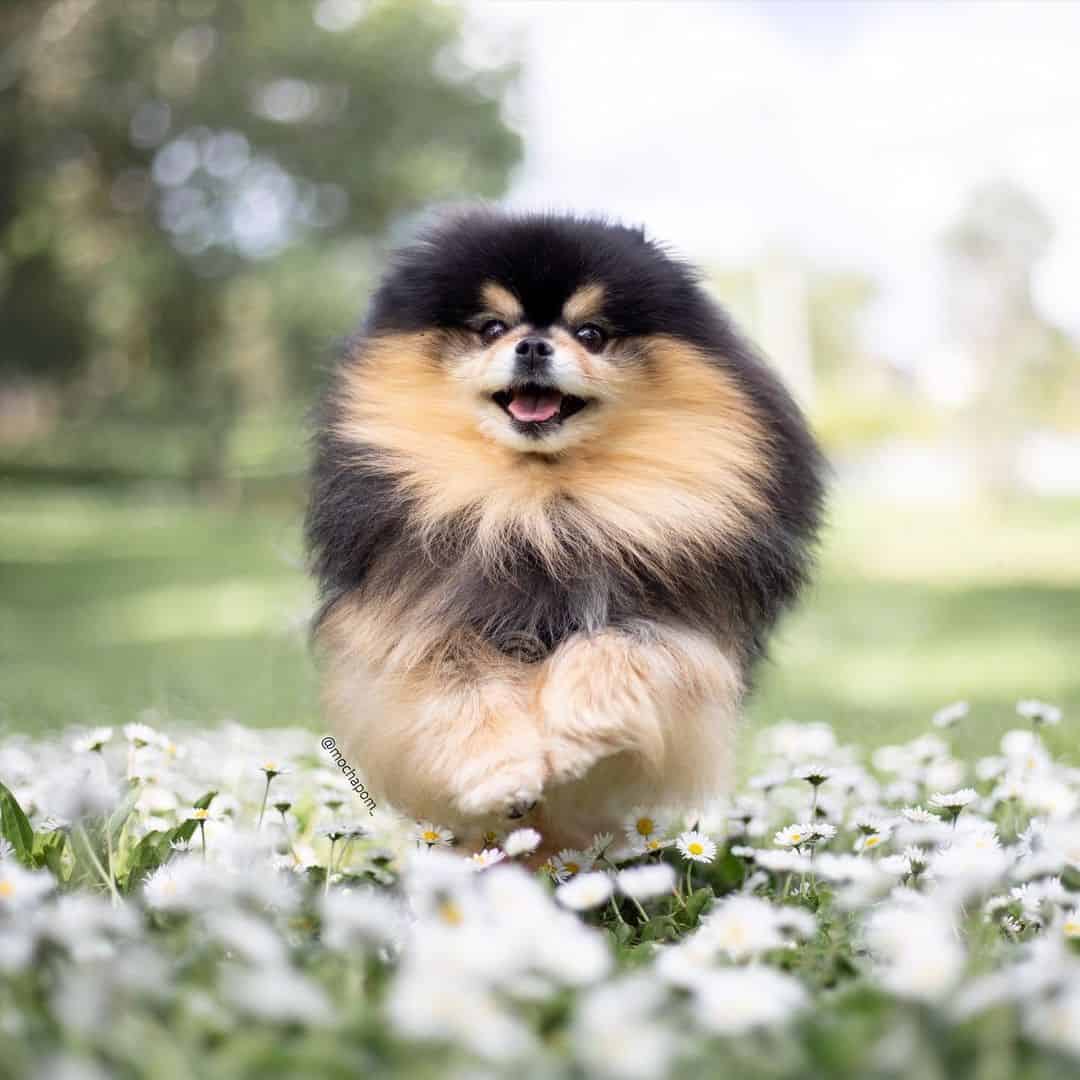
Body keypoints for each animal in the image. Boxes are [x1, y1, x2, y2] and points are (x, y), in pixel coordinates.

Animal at [306, 208, 825, 851]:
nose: (532, 344)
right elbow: (455, 679)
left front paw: (573, 735)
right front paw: (504, 770)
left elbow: (615, 646)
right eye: (491, 327)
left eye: (592, 333)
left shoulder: (682, 628)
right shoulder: (410, 627)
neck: (541, 511)